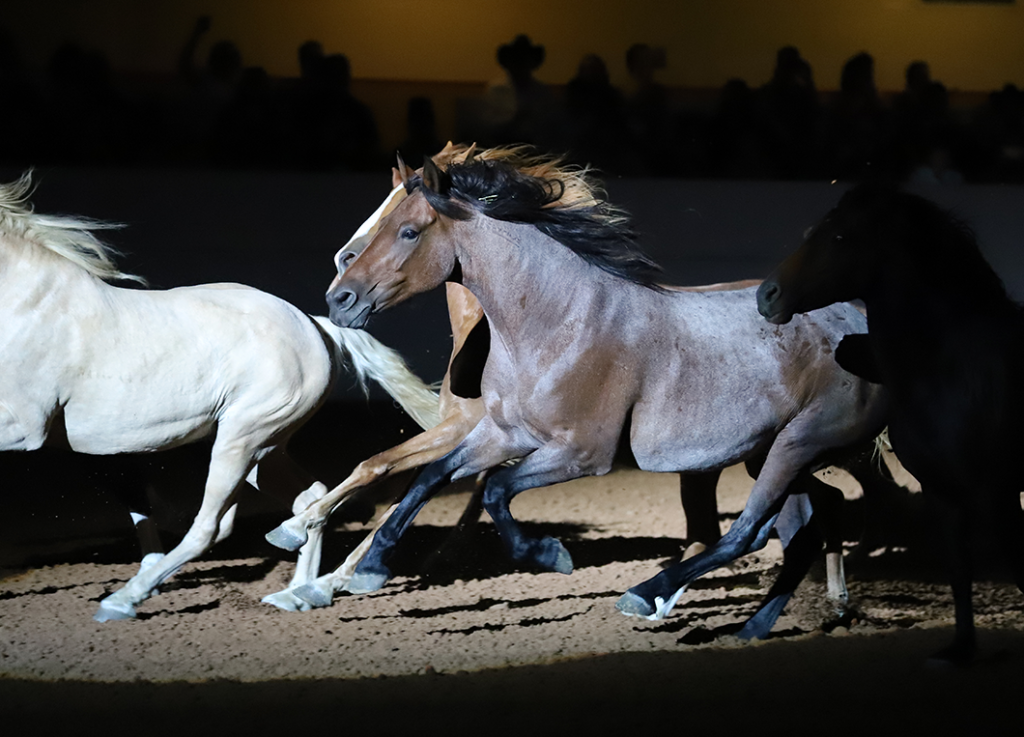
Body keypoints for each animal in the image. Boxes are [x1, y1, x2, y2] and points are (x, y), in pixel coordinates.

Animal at [0, 171, 439, 621]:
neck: (24, 299)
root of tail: (317, 326)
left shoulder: (27, 426)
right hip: (262, 448)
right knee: (310, 498)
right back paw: (296, 592)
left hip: (241, 439)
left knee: (212, 527)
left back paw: (124, 600)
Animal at [314, 148, 890, 638]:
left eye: (408, 230)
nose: (340, 297)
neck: (558, 320)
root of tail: (857, 317)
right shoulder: (502, 434)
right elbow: (428, 479)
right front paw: (368, 568)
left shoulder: (581, 452)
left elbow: (496, 490)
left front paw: (550, 554)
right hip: (769, 453)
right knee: (802, 525)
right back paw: (756, 625)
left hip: (798, 444)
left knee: (749, 531)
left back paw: (648, 595)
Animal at [756, 183, 1024, 664]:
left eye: (840, 238)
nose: (766, 295)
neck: (947, 367)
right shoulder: (943, 493)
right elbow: (959, 568)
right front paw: (960, 650)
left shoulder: (999, 494)